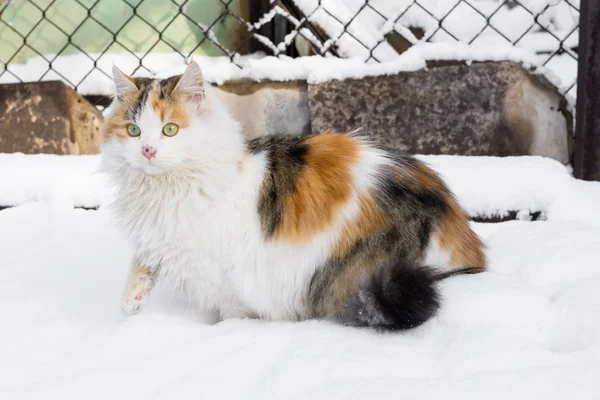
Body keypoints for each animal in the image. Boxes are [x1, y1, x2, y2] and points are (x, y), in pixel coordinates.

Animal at [102, 61, 488, 330]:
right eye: (133, 131)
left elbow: (231, 314)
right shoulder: (160, 236)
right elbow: (142, 261)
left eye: (170, 130)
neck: (165, 189)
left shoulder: (228, 280)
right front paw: (131, 298)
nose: (148, 150)